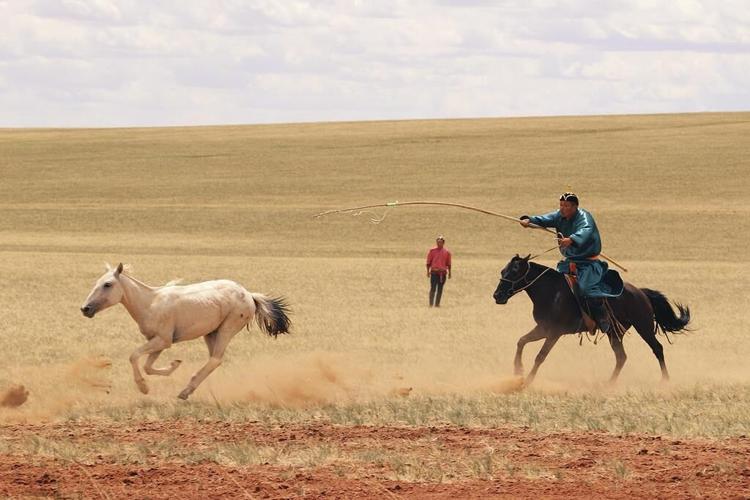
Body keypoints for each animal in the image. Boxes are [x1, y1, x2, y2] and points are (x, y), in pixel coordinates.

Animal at [80, 263, 291, 400]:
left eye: (107, 284)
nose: (85, 309)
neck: (150, 303)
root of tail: (249, 295)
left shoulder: (162, 340)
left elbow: (134, 356)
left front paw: (143, 387)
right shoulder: (159, 342)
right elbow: (148, 366)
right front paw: (174, 364)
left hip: (227, 329)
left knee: (215, 359)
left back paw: (185, 391)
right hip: (211, 333)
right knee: (214, 359)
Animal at [493, 254, 691, 384]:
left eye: (515, 271)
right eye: (503, 270)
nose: (497, 295)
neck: (551, 292)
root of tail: (641, 293)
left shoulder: (555, 332)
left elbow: (540, 356)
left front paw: (527, 381)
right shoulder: (543, 328)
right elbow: (521, 341)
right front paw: (518, 370)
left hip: (644, 326)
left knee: (657, 348)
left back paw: (665, 380)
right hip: (615, 333)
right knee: (621, 357)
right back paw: (609, 383)